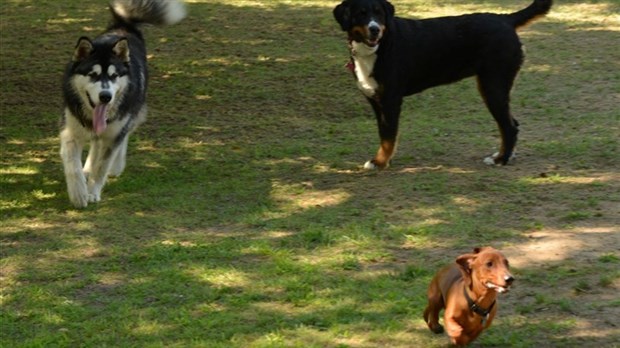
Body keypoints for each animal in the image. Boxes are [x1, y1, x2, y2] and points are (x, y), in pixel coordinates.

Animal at [60, 0, 186, 207]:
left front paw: (93, 191)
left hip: (133, 111)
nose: (105, 96)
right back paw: (88, 168)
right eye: (92, 74)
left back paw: (116, 166)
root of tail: (123, 26)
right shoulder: (70, 130)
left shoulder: (115, 133)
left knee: (122, 136)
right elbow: (73, 165)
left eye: (114, 76)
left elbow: (102, 167)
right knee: (96, 143)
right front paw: (78, 193)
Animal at [334, 0, 552, 170]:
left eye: (379, 13)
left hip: (493, 86)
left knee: (509, 126)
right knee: (511, 124)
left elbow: (388, 137)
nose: (375, 29)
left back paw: (501, 159)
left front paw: (379, 162)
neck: (378, 48)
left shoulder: (391, 100)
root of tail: (505, 19)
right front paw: (382, 160)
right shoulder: (375, 100)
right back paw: (507, 155)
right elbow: (384, 134)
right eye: (361, 14)